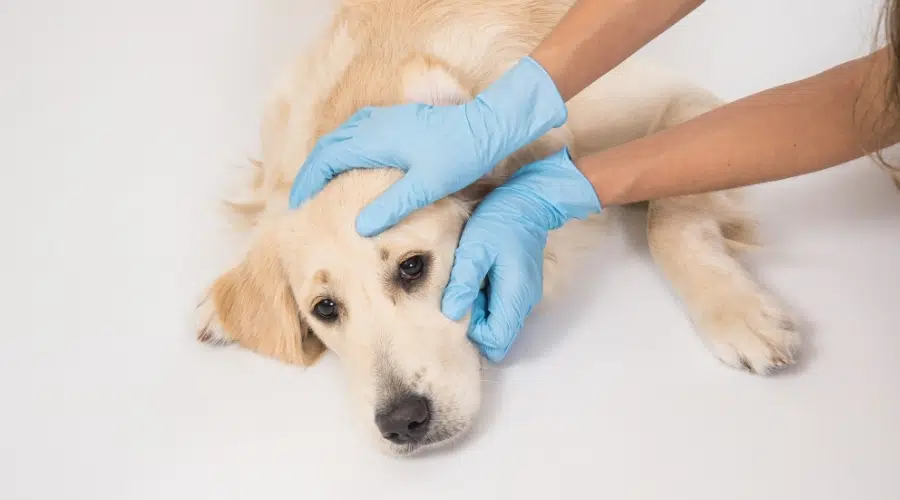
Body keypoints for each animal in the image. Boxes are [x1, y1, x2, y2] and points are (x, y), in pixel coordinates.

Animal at [193, 0, 800, 456]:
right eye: (324, 309)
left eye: (413, 268)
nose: (402, 421)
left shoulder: (682, 104)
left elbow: (670, 218)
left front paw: (737, 313)